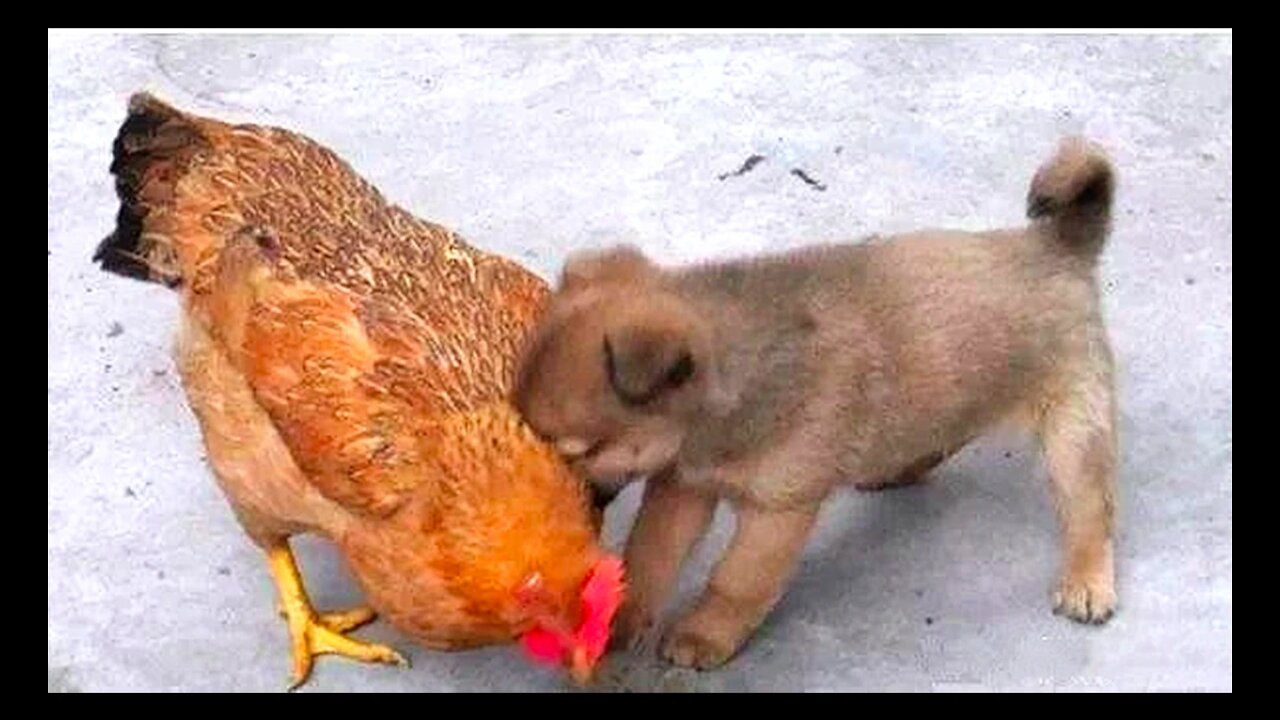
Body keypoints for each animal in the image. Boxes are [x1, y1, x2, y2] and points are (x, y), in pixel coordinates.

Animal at [509, 139, 1121, 666]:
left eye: (579, 451)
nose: (580, 506)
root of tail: (1058, 244)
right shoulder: (682, 487)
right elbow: (649, 557)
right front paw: (622, 617)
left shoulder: (778, 510)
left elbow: (737, 581)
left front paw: (704, 634)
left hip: (1074, 430)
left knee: (1089, 509)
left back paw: (1088, 581)